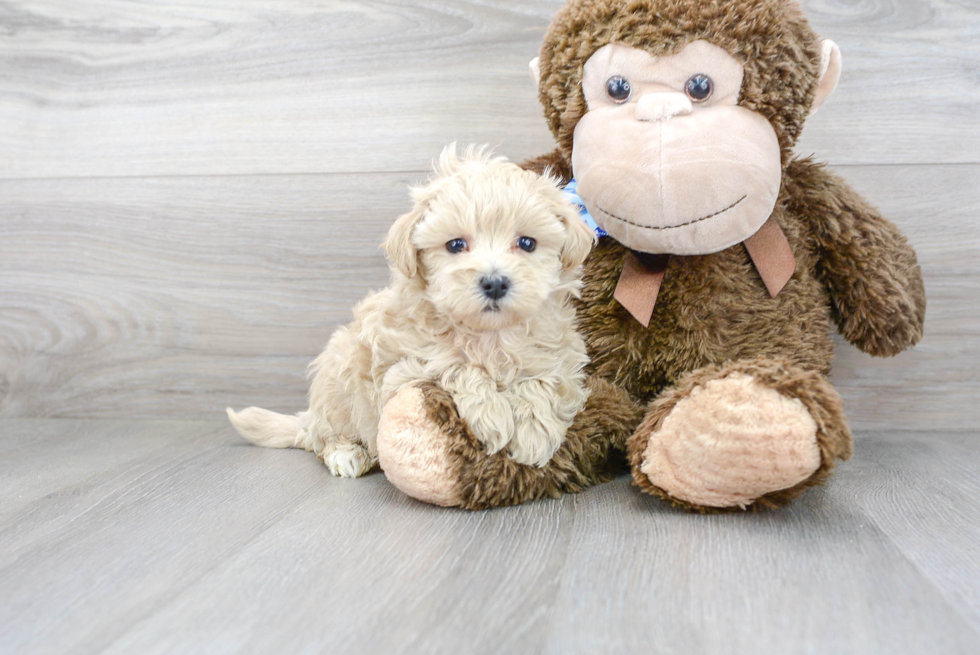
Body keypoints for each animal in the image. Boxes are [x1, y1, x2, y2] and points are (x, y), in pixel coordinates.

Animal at [228, 146, 596, 480]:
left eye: (527, 243)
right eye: (455, 245)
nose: (494, 283)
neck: (488, 336)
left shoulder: (566, 362)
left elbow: (545, 379)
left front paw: (534, 430)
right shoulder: (399, 372)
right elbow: (452, 365)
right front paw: (492, 414)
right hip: (337, 379)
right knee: (323, 437)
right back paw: (346, 453)